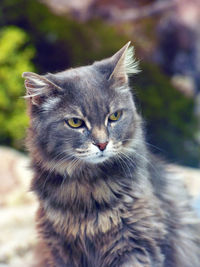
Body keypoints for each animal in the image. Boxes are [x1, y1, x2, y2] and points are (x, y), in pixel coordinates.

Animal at [22, 42, 200, 267]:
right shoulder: (58, 249)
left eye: (114, 116)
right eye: (75, 122)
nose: (102, 143)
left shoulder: (137, 244)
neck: (88, 186)